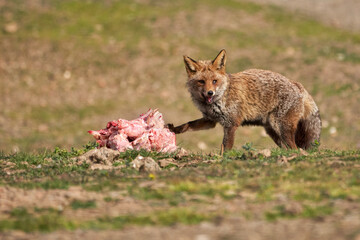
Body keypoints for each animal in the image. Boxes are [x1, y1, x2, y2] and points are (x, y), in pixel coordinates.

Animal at [167, 49, 322, 155]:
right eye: (201, 82)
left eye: (214, 81)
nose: (210, 93)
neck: (221, 97)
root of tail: (297, 84)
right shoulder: (210, 120)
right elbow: (188, 124)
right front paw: (173, 129)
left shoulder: (231, 123)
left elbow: (226, 146)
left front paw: (223, 158)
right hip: (272, 131)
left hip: (281, 127)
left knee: (295, 148)